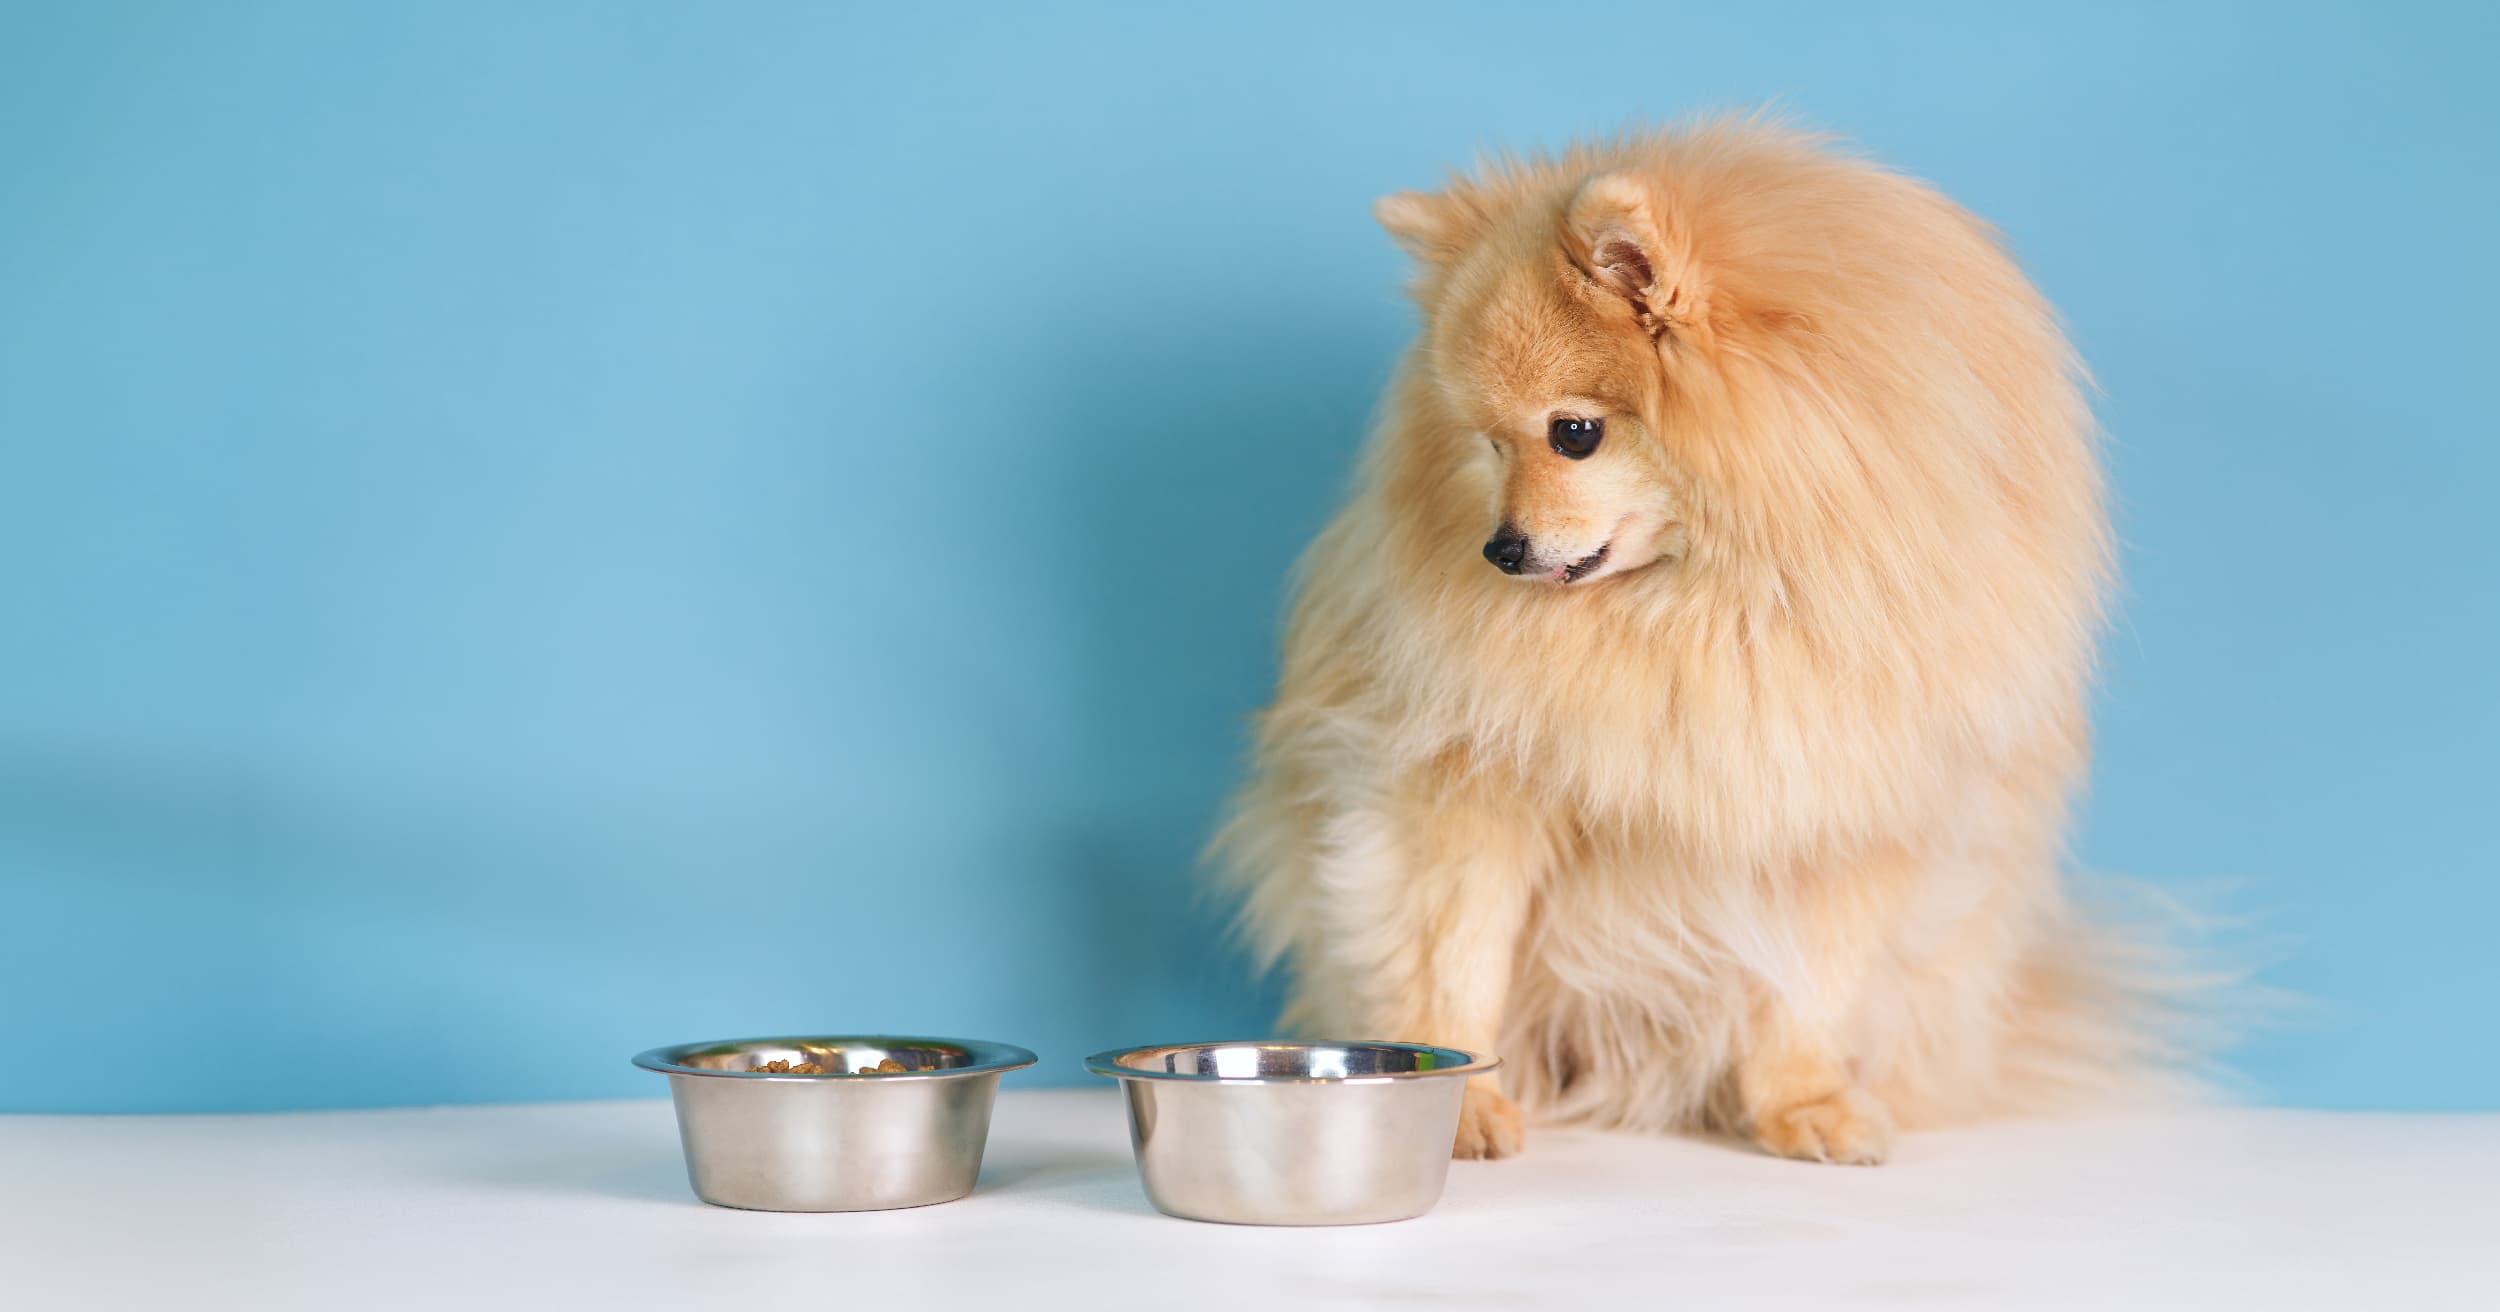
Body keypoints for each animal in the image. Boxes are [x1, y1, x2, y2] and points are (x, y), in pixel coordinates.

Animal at [1220, 122, 2180, 1159]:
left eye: (1573, 434)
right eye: (1489, 445)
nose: (1499, 549)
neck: (1719, 602)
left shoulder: (1843, 809)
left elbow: (1810, 989)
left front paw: (1803, 1102)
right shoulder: (1464, 786)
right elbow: (1455, 963)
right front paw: (1462, 1105)